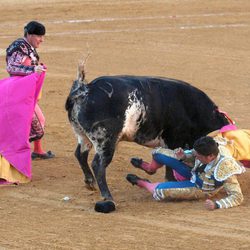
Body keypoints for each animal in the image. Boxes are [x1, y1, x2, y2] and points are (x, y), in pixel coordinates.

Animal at [65, 75, 229, 210]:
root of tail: (86, 90)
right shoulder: (174, 140)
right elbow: (171, 162)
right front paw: (170, 179)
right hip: (106, 140)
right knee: (98, 164)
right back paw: (107, 196)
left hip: (83, 136)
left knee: (80, 154)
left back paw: (90, 183)